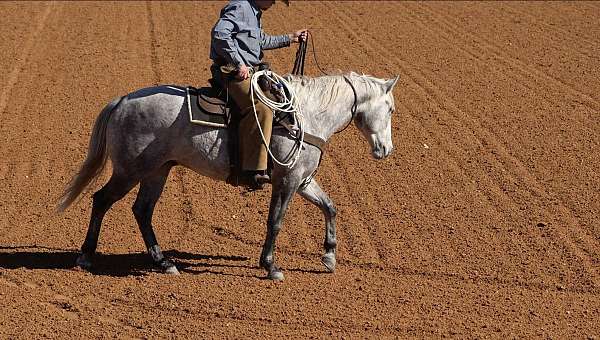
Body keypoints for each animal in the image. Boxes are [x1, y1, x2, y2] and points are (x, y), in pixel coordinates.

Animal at [57, 71, 398, 278]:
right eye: (392, 109)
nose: (386, 149)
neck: (306, 115)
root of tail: (122, 101)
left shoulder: (303, 180)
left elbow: (330, 207)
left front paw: (329, 256)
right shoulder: (286, 181)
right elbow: (275, 221)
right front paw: (271, 266)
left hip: (157, 171)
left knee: (142, 210)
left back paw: (164, 262)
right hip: (130, 171)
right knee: (102, 200)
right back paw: (85, 256)